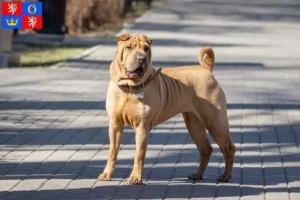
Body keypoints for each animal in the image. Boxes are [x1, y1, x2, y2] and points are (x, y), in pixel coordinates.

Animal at [99, 34, 236, 184]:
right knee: (206, 149)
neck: (129, 87)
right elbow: (112, 151)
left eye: (146, 49)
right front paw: (106, 174)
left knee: (229, 148)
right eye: (129, 47)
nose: (142, 59)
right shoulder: (115, 125)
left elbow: (139, 155)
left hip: (215, 123)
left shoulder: (142, 127)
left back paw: (226, 176)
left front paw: (135, 177)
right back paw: (198, 174)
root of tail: (206, 68)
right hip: (194, 124)